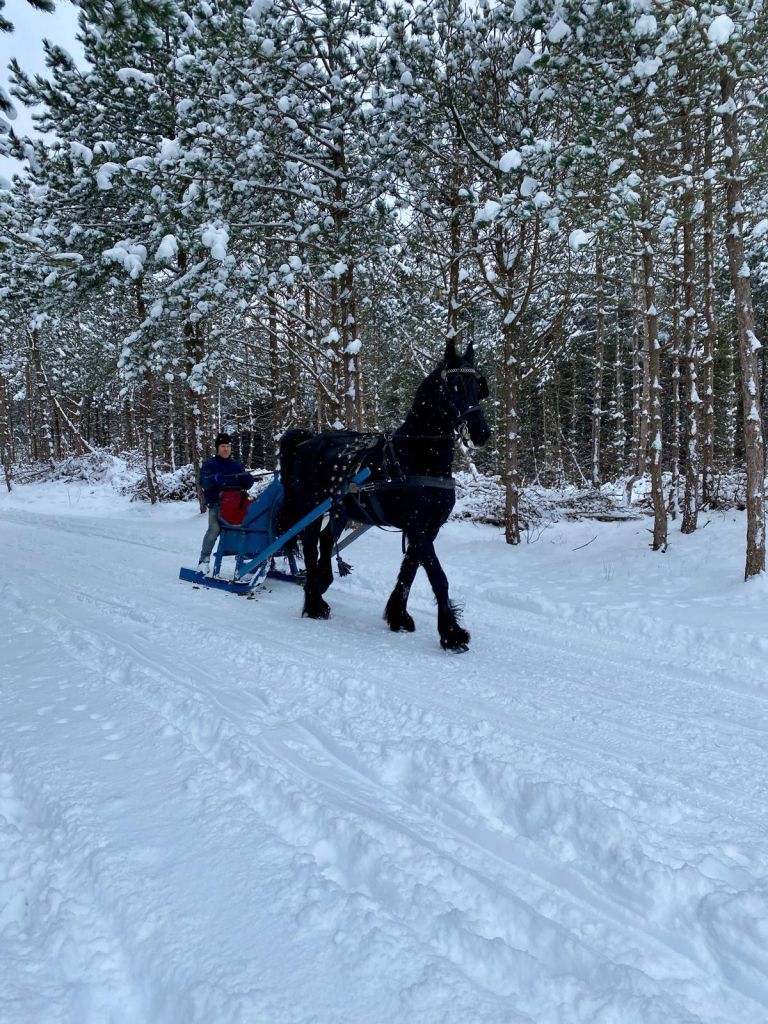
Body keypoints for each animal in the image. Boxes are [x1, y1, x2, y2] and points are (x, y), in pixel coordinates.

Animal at [280, 342, 489, 647]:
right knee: (310, 545)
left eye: (479, 385)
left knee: (326, 539)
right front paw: (452, 633)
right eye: (454, 386)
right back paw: (314, 603)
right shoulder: (417, 526)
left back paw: (322, 580)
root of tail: (307, 441)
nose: (481, 431)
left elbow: (409, 570)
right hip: (311, 507)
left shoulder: (428, 528)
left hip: (341, 509)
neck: (417, 455)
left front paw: (398, 615)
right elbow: (437, 576)